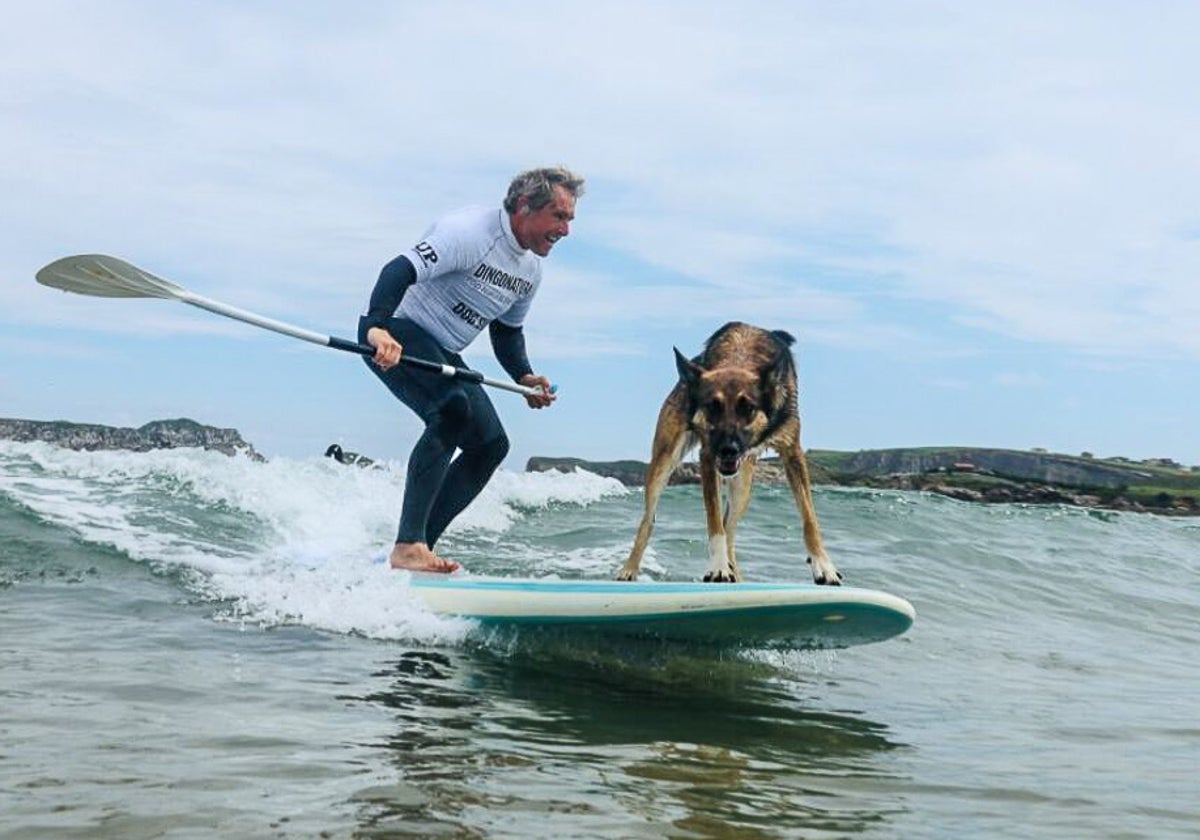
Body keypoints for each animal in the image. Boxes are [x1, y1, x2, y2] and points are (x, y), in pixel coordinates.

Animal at [619, 321, 844, 583]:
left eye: (748, 408)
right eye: (712, 407)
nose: (729, 449)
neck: (740, 357)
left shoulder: (793, 452)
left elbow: (809, 518)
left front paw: (823, 565)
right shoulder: (708, 455)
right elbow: (714, 520)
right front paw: (717, 566)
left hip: (743, 487)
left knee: (731, 528)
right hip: (664, 460)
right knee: (649, 519)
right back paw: (629, 568)